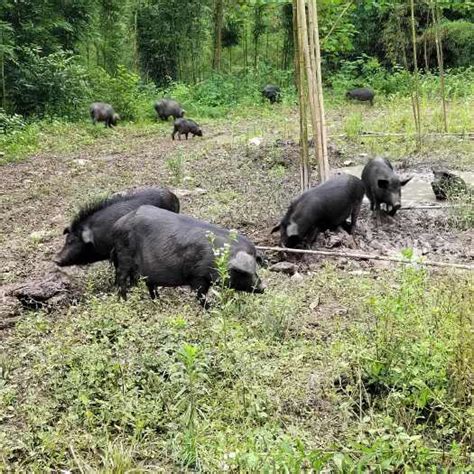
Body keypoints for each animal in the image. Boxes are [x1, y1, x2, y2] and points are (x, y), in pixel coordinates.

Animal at [112, 206, 264, 304]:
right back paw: (124, 301)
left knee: (147, 284)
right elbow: (200, 295)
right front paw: (209, 309)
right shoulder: (198, 276)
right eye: (244, 273)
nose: (263, 287)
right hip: (124, 255)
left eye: (255, 270)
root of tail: (117, 224)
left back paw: (157, 302)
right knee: (121, 277)